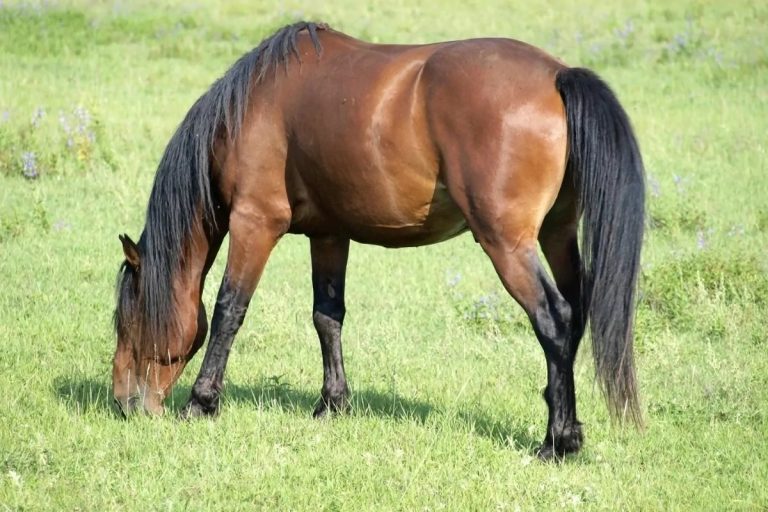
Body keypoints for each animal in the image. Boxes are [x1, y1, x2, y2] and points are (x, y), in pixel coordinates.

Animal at [113, 21, 645, 460]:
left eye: (127, 320)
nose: (123, 404)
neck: (255, 104)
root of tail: (557, 75)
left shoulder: (254, 222)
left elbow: (229, 310)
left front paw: (202, 402)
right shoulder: (329, 234)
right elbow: (327, 317)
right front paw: (332, 404)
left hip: (508, 244)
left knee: (554, 320)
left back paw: (556, 442)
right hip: (557, 234)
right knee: (574, 319)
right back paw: (568, 427)